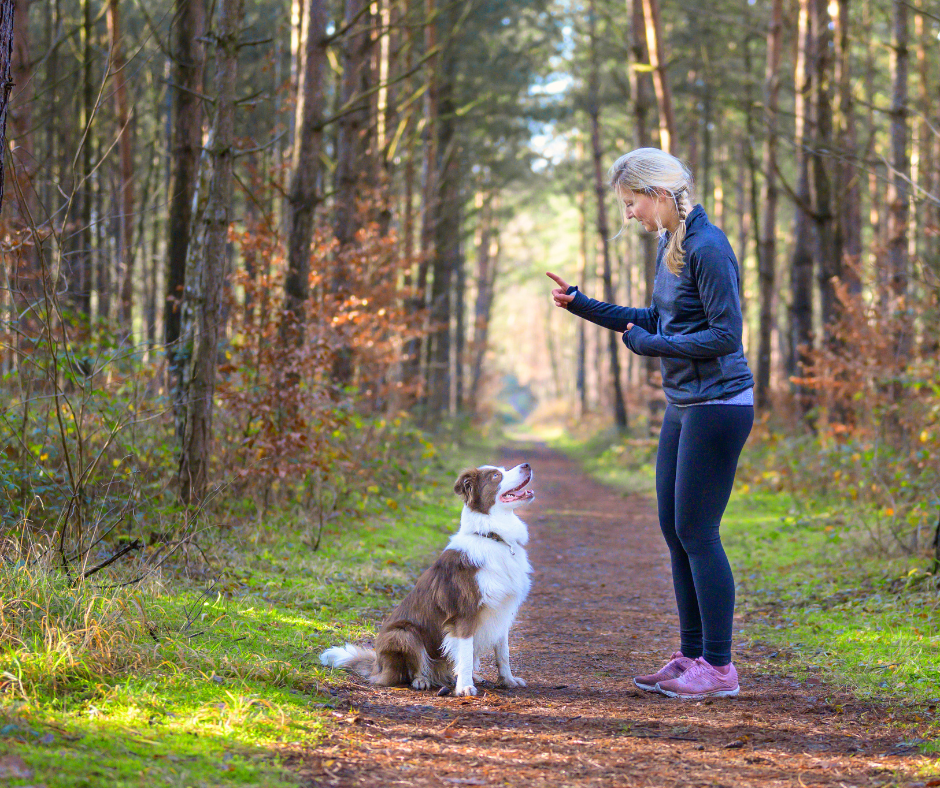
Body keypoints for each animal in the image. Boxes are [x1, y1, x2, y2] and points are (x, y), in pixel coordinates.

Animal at [318, 462, 532, 696]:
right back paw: (422, 680)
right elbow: (466, 654)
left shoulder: (502, 611)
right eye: (495, 476)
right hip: (403, 633)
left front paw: (508, 680)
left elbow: (503, 653)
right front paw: (465, 687)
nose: (526, 465)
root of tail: (377, 665)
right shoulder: (464, 614)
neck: (492, 536)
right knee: (411, 669)